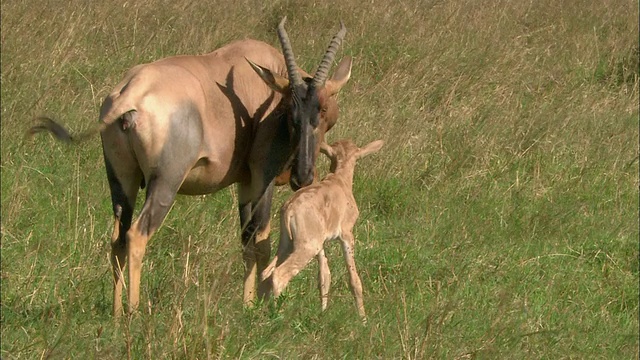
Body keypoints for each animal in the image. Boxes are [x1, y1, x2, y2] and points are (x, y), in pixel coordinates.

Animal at [27, 17, 352, 316]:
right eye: (291, 115)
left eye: (321, 111)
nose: (303, 176)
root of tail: (131, 93)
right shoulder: (262, 177)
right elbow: (261, 241)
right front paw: (259, 306)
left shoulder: (245, 183)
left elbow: (246, 242)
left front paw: (247, 304)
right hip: (165, 183)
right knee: (136, 236)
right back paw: (134, 312)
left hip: (121, 181)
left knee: (117, 238)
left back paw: (117, 314)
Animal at [262, 139, 382, 320]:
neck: (339, 181)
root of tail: (289, 208)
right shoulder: (347, 235)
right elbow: (354, 280)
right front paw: (363, 319)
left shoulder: (322, 243)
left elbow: (324, 277)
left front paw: (322, 312)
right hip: (307, 247)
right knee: (279, 275)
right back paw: (277, 315)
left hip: (287, 245)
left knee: (266, 272)